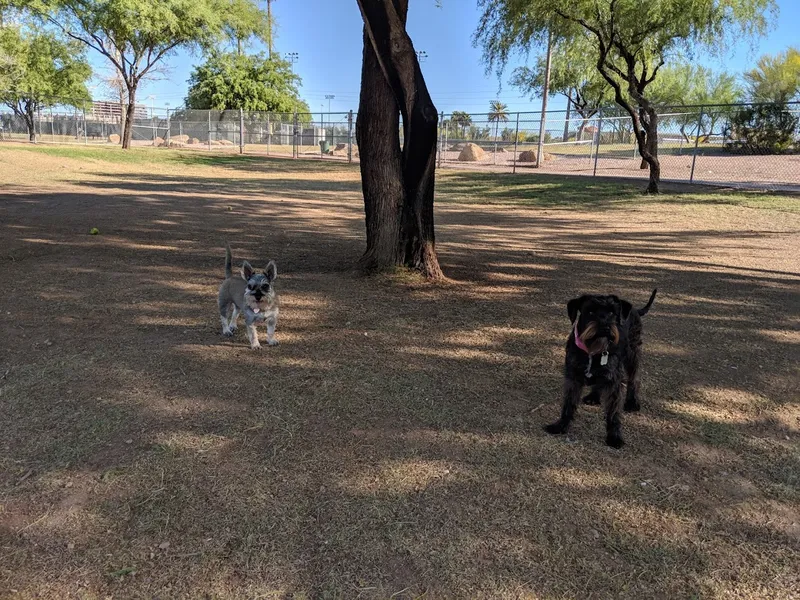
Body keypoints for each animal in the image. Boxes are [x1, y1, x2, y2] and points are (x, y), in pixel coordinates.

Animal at [544, 288, 656, 448]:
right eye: (590, 311)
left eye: (612, 312)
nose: (604, 326)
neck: (593, 351)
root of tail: (634, 309)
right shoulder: (573, 378)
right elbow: (568, 404)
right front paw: (560, 426)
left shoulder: (614, 381)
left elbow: (613, 413)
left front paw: (614, 437)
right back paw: (593, 396)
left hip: (633, 355)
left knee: (634, 379)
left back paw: (632, 402)